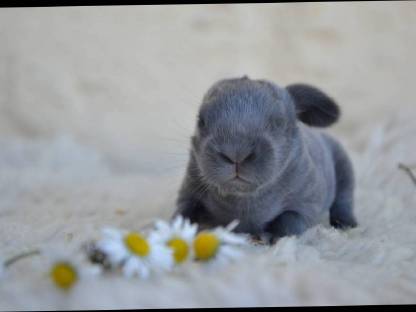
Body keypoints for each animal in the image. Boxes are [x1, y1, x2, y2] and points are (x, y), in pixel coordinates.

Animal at [172, 76, 358, 244]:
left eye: (278, 122)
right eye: (201, 121)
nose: (236, 153)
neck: (243, 198)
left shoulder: (307, 206)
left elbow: (289, 221)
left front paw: (268, 237)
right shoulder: (189, 194)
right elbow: (182, 214)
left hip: (343, 166)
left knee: (343, 199)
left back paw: (346, 225)